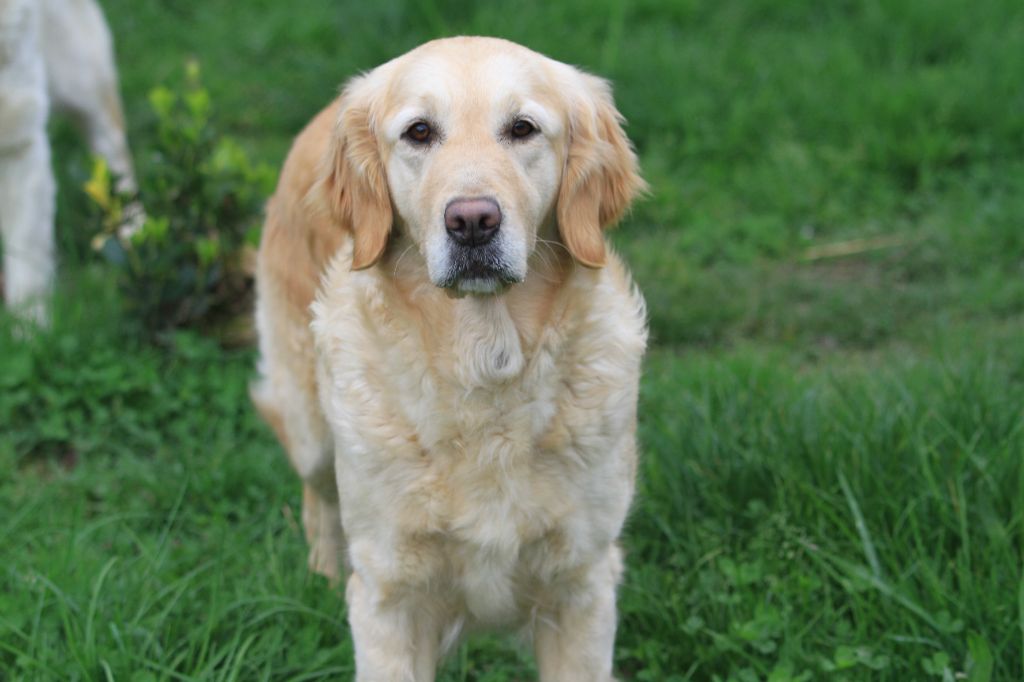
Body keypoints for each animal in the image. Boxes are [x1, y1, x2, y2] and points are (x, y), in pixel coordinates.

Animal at [250, 38, 643, 679]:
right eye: (419, 132)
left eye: (522, 128)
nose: (472, 222)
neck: (484, 363)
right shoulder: (389, 595)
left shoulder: (582, 585)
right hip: (311, 430)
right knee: (316, 497)